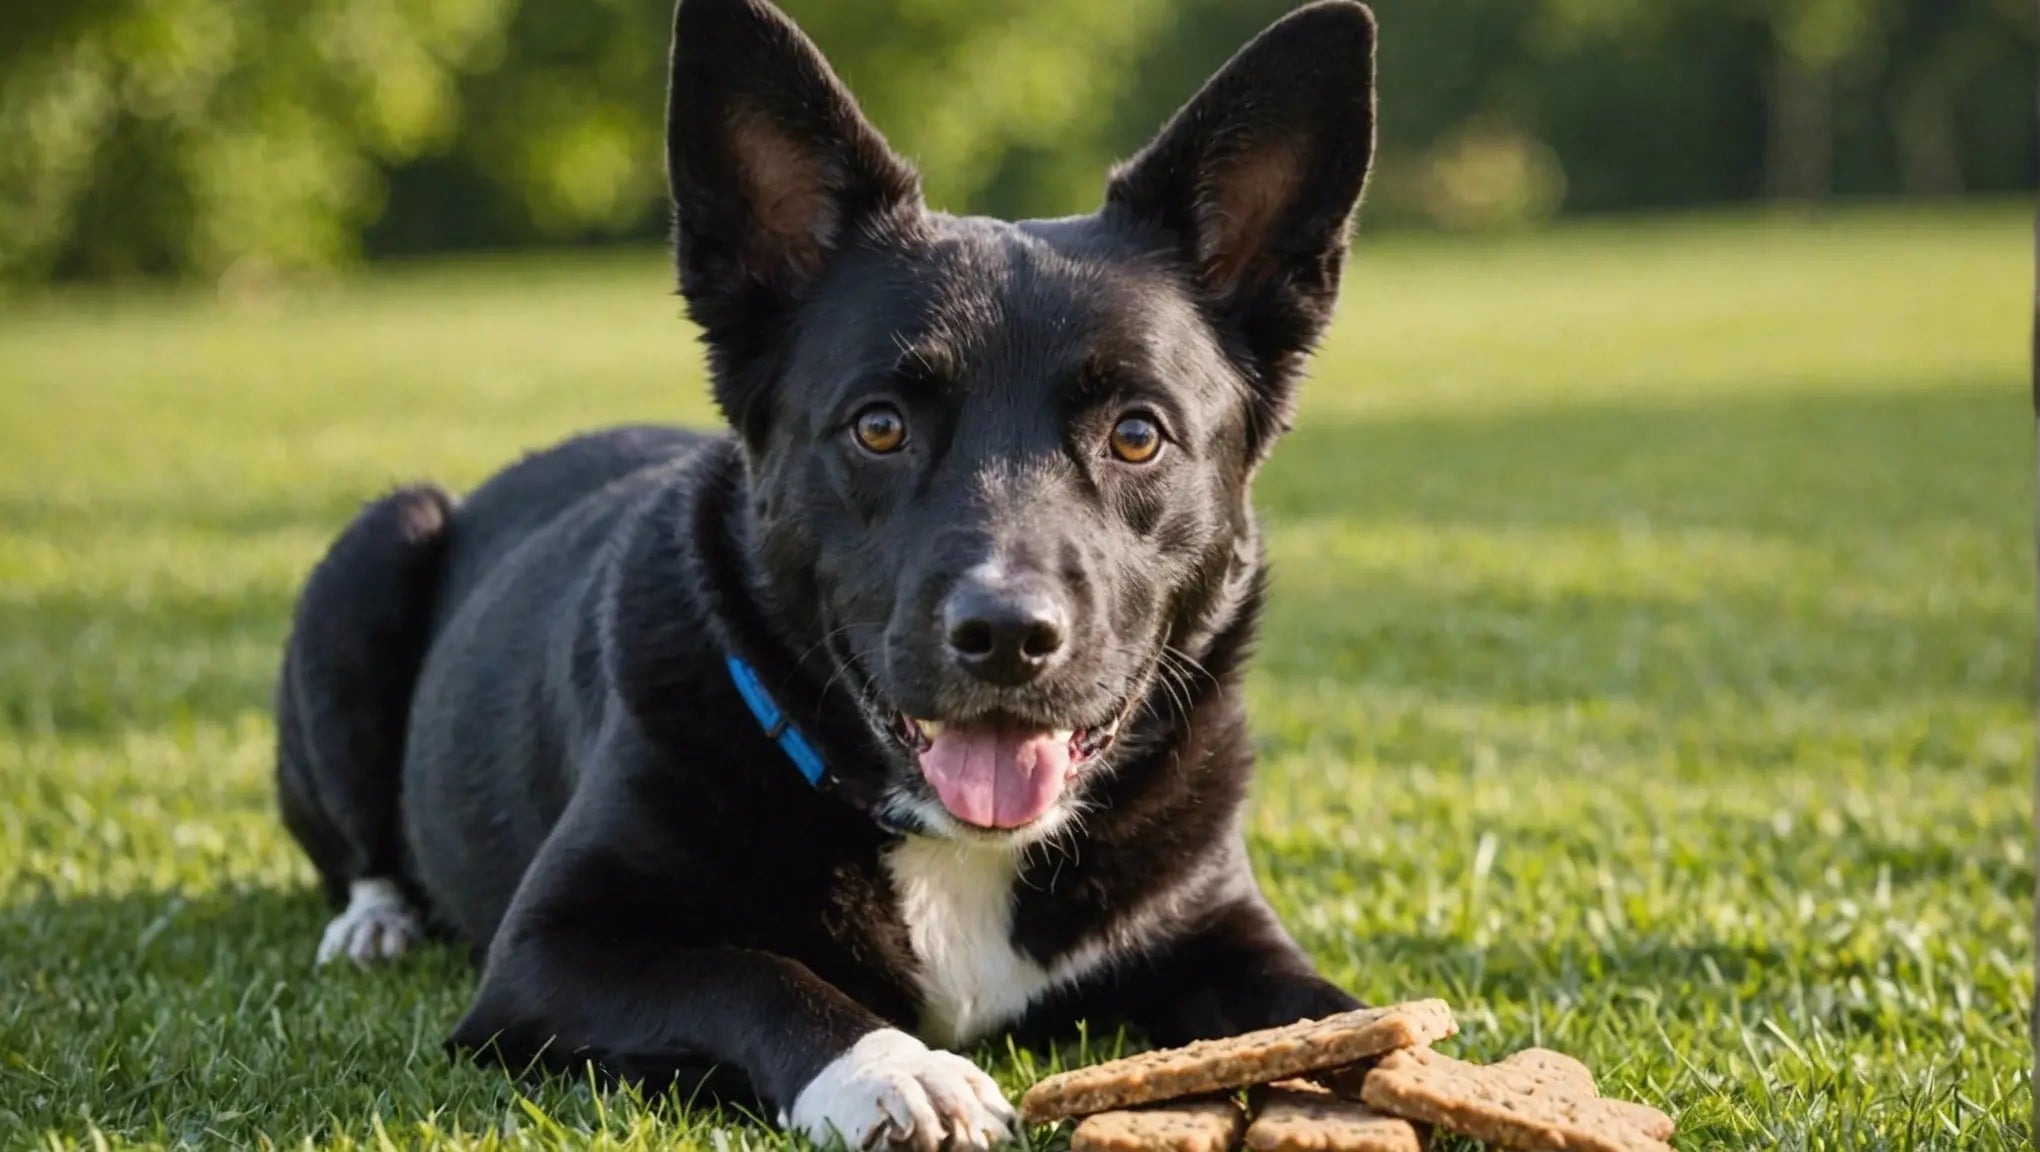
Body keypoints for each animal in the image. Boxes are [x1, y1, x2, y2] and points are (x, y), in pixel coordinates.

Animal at [275, 2, 1370, 1141]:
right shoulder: (552, 952)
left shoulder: (1223, 933)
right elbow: (750, 973)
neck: (953, 842)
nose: (1007, 637)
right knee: (363, 853)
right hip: (373, 556)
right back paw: (375, 924)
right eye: (879, 427)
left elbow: (1335, 1012)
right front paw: (895, 1068)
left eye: (1139, 435)